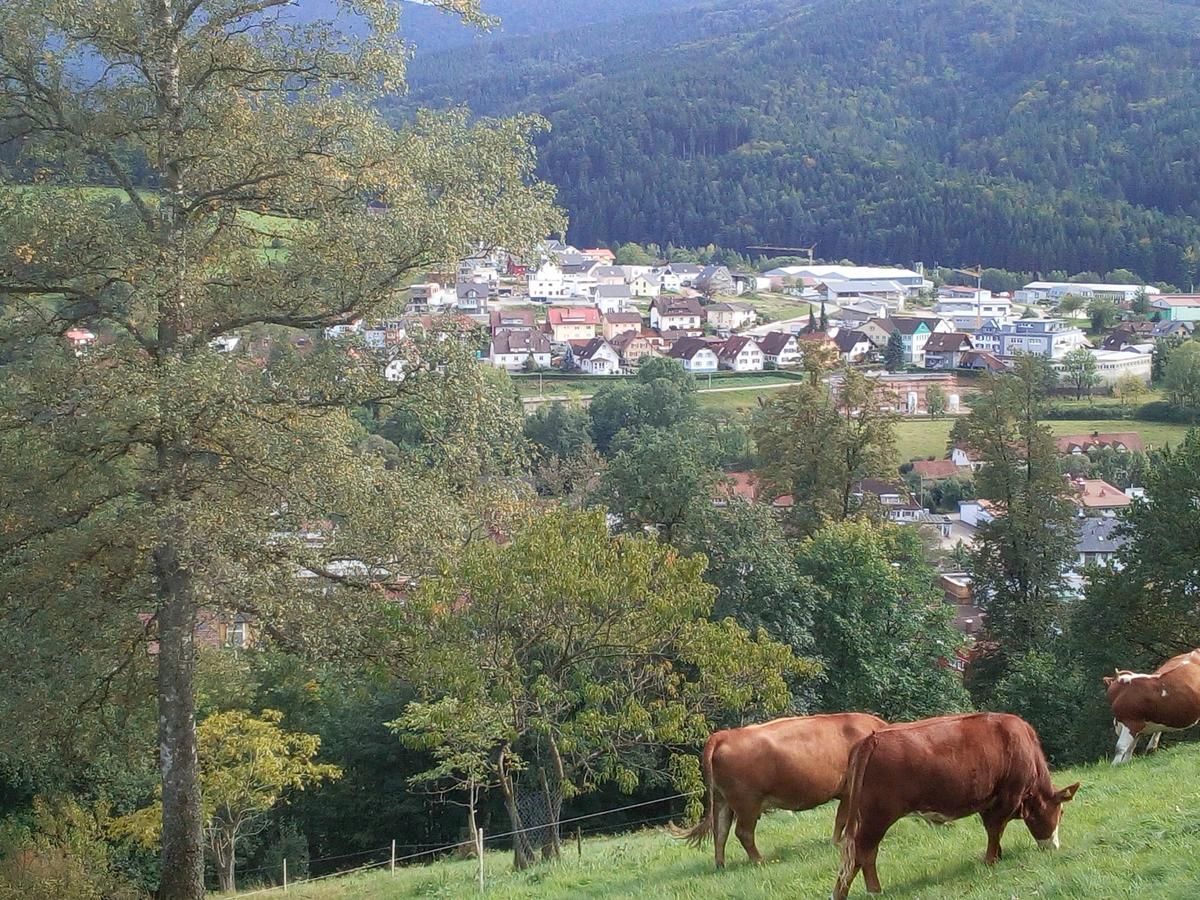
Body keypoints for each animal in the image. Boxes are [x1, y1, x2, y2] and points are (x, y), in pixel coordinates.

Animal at [672, 715, 888, 868]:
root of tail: (723, 735)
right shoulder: (850, 791)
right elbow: (843, 819)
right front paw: (837, 842)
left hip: (722, 801)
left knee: (721, 831)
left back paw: (720, 865)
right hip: (747, 803)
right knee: (743, 833)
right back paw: (759, 860)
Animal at [835, 715, 1080, 897]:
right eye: (1061, 811)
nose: (1054, 846)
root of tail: (872, 739)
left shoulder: (988, 801)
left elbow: (992, 830)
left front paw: (997, 856)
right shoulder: (1009, 796)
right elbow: (995, 829)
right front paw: (990, 861)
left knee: (866, 853)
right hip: (877, 816)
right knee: (861, 852)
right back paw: (861, 891)